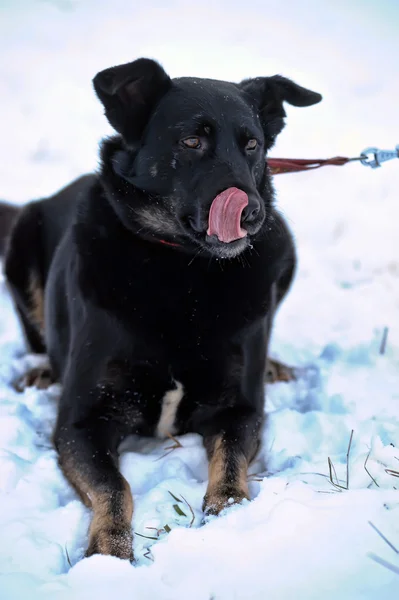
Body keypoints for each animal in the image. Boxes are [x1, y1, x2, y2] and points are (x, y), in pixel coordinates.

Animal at [1, 58, 322, 560]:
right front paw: (110, 551)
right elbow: (114, 487)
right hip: (22, 236)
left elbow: (230, 462)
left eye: (252, 145)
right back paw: (38, 370)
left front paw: (227, 513)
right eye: (191, 142)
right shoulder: (80, 423)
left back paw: (274, 363)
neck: (183, 269)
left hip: (283, 242)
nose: (251, 213)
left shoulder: (240, 409)